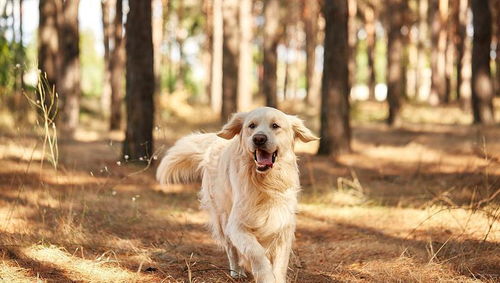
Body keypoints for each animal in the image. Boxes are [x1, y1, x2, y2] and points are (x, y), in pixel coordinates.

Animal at [157, 107, 316, 282]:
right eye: (251, 126)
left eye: (275, 125)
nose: (259, 139)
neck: (265, 183)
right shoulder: (236, 225)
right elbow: (256, 252)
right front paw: (265, 276)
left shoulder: (283, 225)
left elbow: (280, 262)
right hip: (223, 217)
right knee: (231, 249)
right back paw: (236, 272)